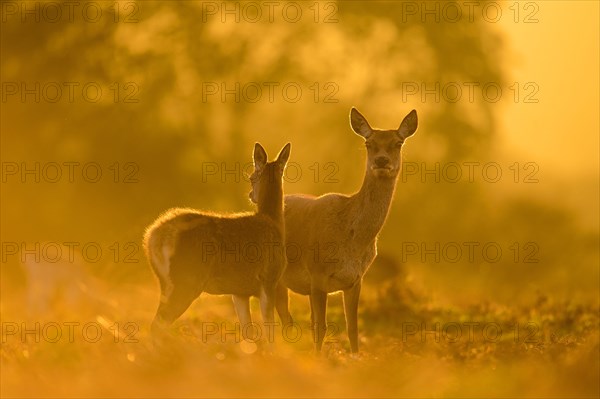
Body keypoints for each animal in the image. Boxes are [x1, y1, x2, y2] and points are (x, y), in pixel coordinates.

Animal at [142, 142, 290, 340]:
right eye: (251, 177)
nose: (251, 194)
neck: (273, 222)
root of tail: (155, 237)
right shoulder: (269, 279)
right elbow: (269, 331)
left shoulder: (240, 292)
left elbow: (249, 332)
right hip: (186, 279)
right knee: (157, 325)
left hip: (165, 282)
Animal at [278, 108, 414, 354]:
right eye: (369, 143)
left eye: (398, 143)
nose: (381, 160)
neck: (352, 239)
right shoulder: (318, 272)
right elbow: (321, 327)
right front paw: (319, 359)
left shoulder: (355, 280)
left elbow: (353, 329)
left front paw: (355, 358)